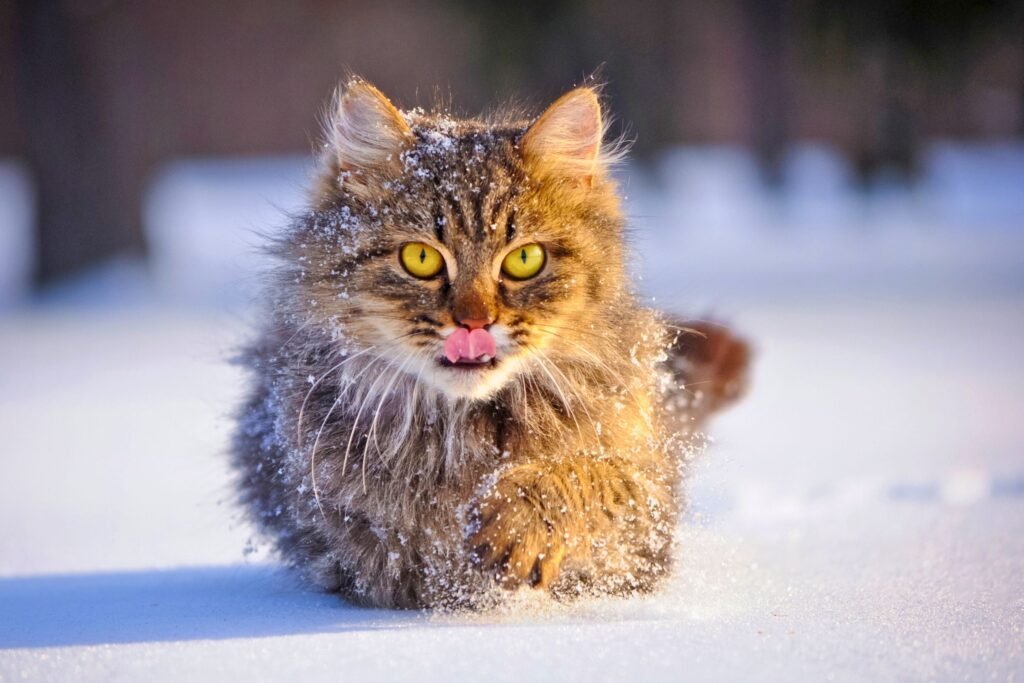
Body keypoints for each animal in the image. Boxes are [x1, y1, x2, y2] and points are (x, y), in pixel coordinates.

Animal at [232, 78, 749, 610]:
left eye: (524, 259)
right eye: (420, 258)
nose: (474, 322)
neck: (468, 428)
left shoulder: (645, 515)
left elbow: (586, 475)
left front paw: (519, 521)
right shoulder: (372, 554)